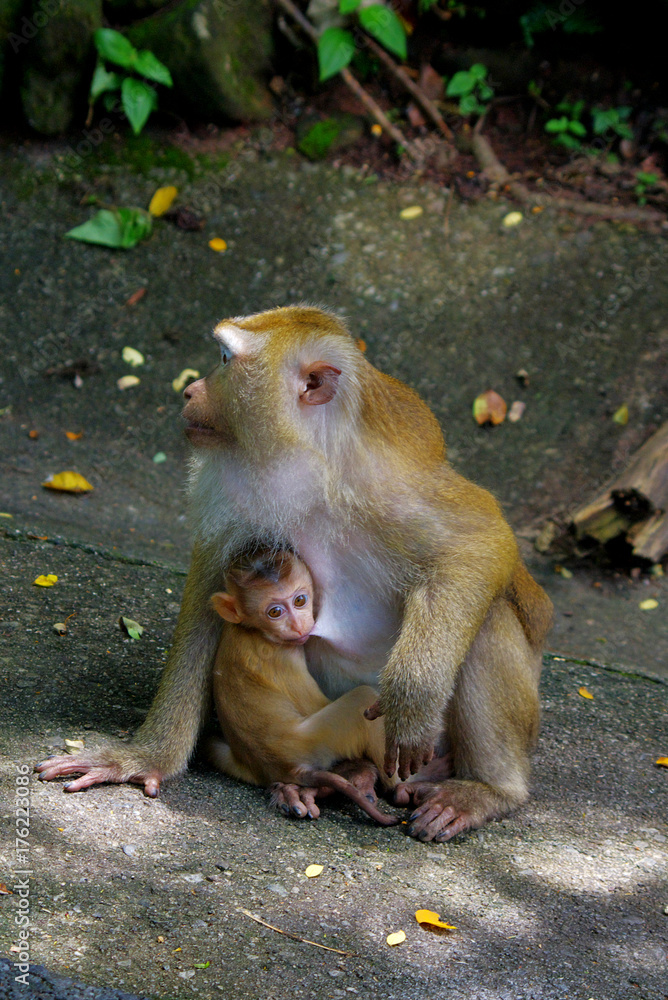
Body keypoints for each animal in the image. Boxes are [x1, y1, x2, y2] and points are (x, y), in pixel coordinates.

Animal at [206, 547, 399, 827]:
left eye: (299, 600)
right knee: (361, 699)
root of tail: (287, 767)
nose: (298, 626)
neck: (253, 631)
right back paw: (400, 787)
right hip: (318, 741)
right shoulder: (285, 658)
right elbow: (317, 705)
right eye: (275, 612)